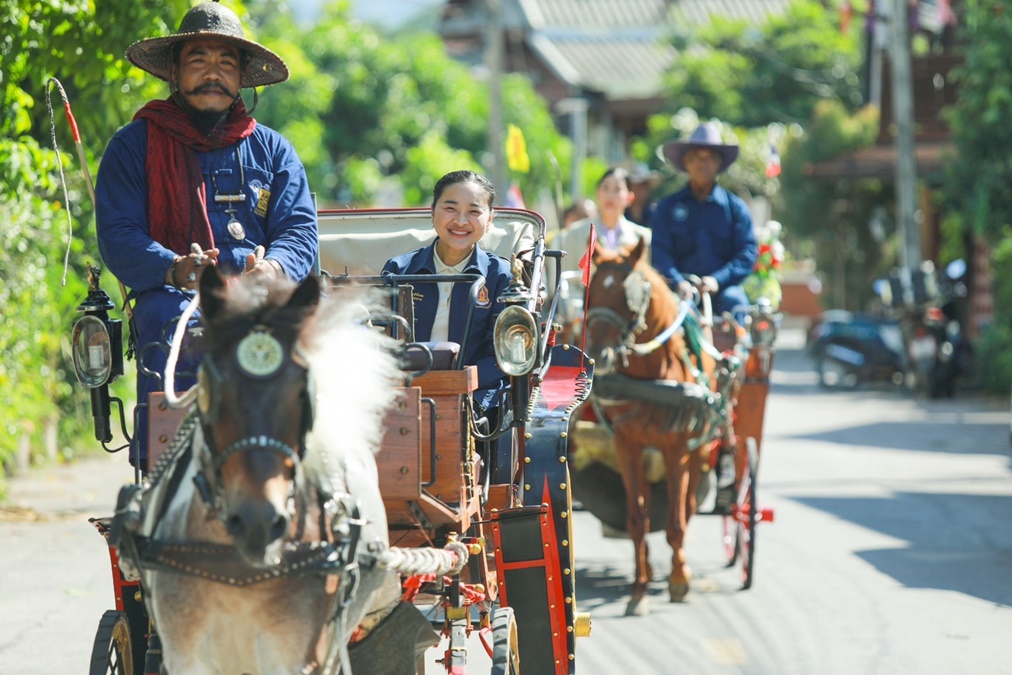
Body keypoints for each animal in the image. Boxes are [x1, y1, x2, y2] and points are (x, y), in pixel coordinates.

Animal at [582, 238, 724, 619]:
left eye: (628, 297)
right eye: (592, 293)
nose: (598, 354)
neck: (651, 377)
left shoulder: (677, 450)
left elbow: (675, 523)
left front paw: (678, 582)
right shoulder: (627, 447)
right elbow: (637, 522)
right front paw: (638, 592)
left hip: (698, 449)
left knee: (687, 506)